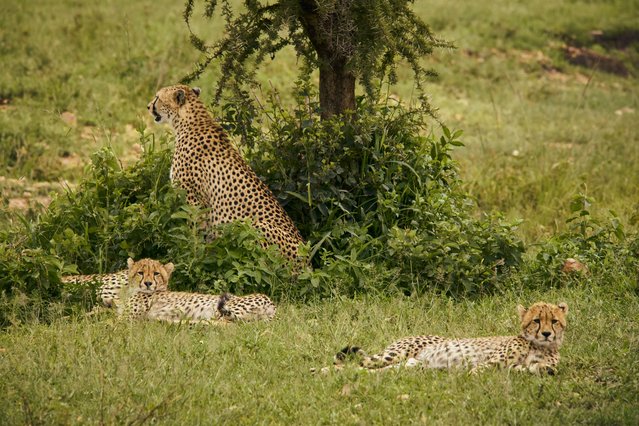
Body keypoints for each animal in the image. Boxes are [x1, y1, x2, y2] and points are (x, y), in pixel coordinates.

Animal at [120, 258, 276, 324]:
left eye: (156, 274)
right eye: (140, 273)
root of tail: (272, 304)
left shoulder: (127, 319)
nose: (148, 283)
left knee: (228, 325)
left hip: (222, 310)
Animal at [148, 84, 304, 262]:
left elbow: (193, 233)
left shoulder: (194, 199)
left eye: (157, 98)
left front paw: (192, 257)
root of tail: (307, 261)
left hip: (255, 226)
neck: (189, 121)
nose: (148, 106)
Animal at [332, 302, 568, 374]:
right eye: (537, 320)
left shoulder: (517, 367)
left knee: (364, 370)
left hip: (409, 365)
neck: (538, 346)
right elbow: (480, 369)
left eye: (554, 321)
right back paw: (324, 372)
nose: (547, 334)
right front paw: (472, 376)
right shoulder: (494, 361)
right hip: (393, 355)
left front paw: (543, 369)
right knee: (349, 364)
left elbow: (537, 368)